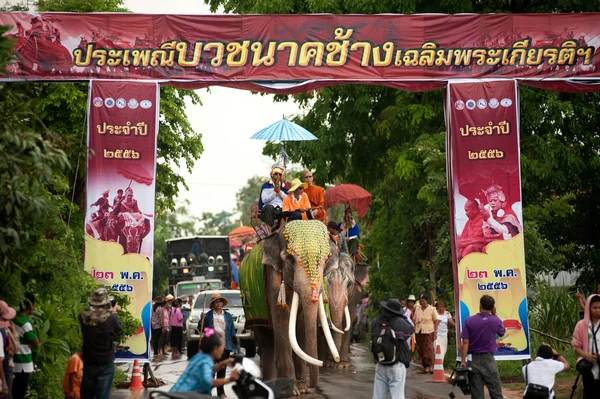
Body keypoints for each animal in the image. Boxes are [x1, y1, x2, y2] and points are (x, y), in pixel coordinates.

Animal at [239, 220, 342, 396]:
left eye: (326, 258)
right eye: (290, 259)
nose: (311, 386)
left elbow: (300, 325)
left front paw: (302, 389)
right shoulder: (273, 277)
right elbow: (283, 321)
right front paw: (291, 391)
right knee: (265, 339)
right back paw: (270, 384)